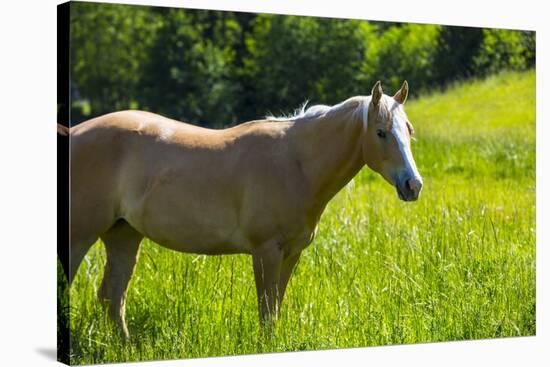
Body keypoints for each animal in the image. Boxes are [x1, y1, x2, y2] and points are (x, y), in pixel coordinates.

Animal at [66, 81, 426, 340]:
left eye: (409, 130)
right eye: (380, 132)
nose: (413, 185)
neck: (296, 163)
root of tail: (73, 134)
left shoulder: (291, 253)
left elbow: (276, 308)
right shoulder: (265, 251)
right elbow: (266, 312)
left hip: (124, 236)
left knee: (112, 299)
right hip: (78, 239)